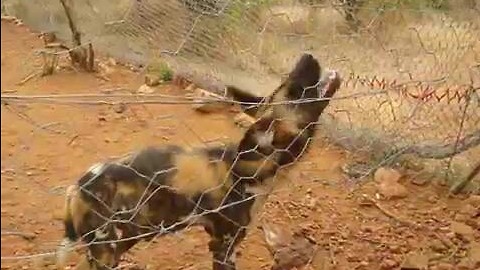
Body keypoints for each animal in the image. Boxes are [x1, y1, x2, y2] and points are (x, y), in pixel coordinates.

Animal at [56, 53, 342, 268]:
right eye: (294, 90)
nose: (307, 55)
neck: (248, 168)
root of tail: (78, 187)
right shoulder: (224, 246)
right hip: (108, 249)